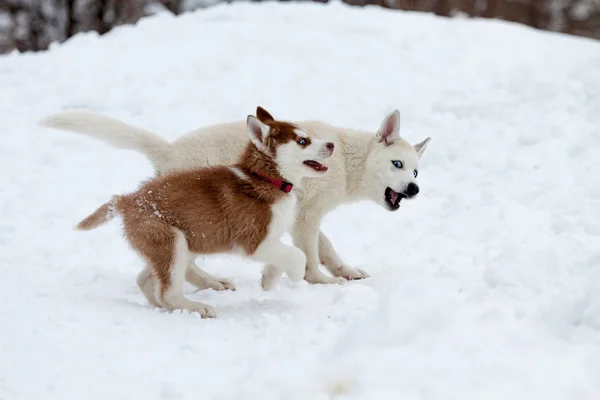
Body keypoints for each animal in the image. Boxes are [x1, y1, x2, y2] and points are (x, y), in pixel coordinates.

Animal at [74, 108, 332, 318]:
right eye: (303, 141)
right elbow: (297, 254)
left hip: (173, 245)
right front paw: (296, 276)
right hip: (172, 242)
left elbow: (287, 254)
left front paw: (268, 280)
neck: (265, 179)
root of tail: (128, 199)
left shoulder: (272, 239)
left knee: (147, 281)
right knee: (167, 292)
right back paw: (196, 308)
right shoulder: (253, 241)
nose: (331, 145)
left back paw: (166, 306)